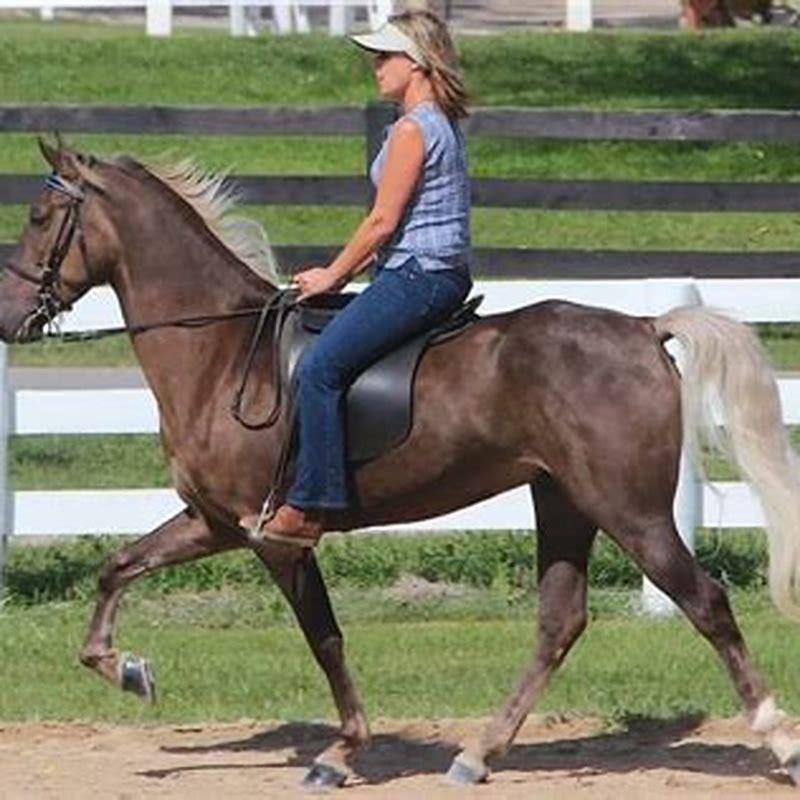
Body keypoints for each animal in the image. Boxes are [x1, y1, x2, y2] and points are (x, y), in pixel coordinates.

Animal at [3, 139, 800, 788]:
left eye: (41, 216)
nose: (10, 317)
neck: (224, 353)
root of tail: (642, 326)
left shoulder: (273, 538)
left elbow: (324, 638)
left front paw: (339, 752)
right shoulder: (215, 523)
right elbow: (117, 567)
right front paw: (128, 670)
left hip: (630, 510)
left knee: (704, 602)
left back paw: (778, 740)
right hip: (564, 500)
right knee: (560, 621)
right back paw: (478, 753)